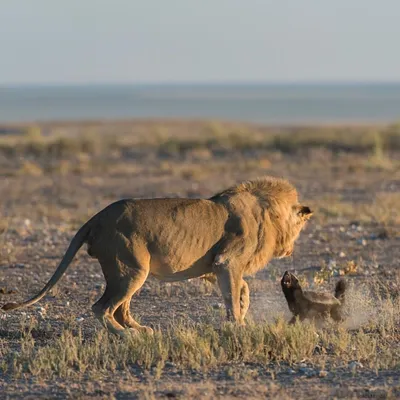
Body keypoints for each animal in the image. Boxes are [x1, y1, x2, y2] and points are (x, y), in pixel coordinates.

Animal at [1, 177, 312, 336]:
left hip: (132, 271)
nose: (291, 250)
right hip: (130, 268)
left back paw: (141, 329)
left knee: (121, 308)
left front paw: (243, 311)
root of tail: (96, 217)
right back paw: (126, 335)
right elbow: (233, 294)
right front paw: (238, 324)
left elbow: (239, 289)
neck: (269, 212)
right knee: (101, 308)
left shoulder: (214, 266)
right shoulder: (227, 261)